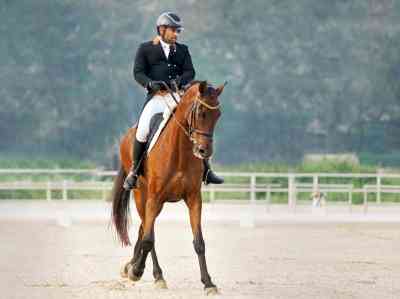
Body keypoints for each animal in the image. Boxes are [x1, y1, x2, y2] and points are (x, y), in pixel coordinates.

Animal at [111, 80, 225, 296]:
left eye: (218, 115)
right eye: (200, 112)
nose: (204, 151)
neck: (180, 151)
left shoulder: (194, 199)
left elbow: (199, 242)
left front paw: (208, 283)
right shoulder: (154, 198)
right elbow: (149, 239)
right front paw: (138, 272)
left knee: (143, 228)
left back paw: (131, 265)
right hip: (141, 195)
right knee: (147, 231)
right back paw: (151, 274)